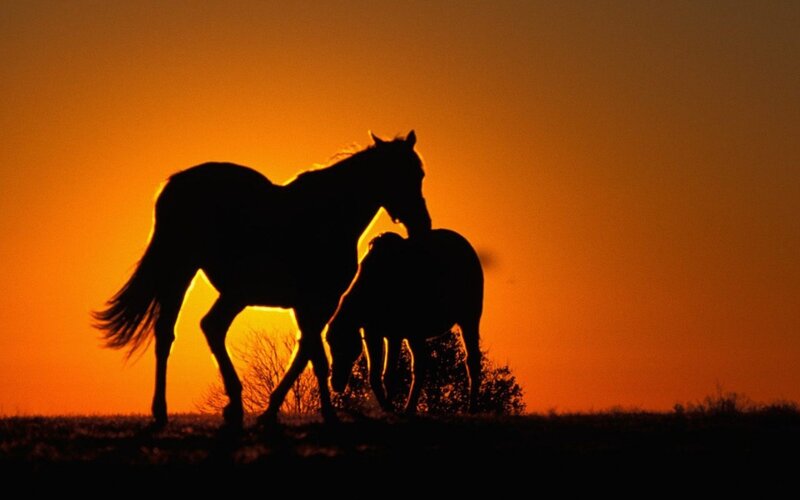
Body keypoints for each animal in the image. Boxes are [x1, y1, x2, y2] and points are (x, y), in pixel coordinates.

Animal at [93, 131, 431, 428]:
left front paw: (272, 410)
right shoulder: (318, 302)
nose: (422, 224)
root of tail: (176, 183)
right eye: (405, 174)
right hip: (188, 273)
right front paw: (326, 414)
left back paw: (224, 406)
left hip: (226, 290)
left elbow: (304, 354)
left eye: (420, 174)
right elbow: (315, 357)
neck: (329, 216)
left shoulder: (307, 306)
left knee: (196, 328)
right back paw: (178, 409)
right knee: (182, 331)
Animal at [327, 229, 483, 414]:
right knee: (420, 365)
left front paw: (390, 407)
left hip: (469, 317)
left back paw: (471, 407)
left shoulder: (395, 334)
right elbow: (374, 376)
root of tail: (468, 248)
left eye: (343, 346)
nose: (335, 382)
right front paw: (387, 407)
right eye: (330, 345)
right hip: (416, 333)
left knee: (472, 360)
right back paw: (409, 408)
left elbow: (388, 375)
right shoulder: (373, 333)